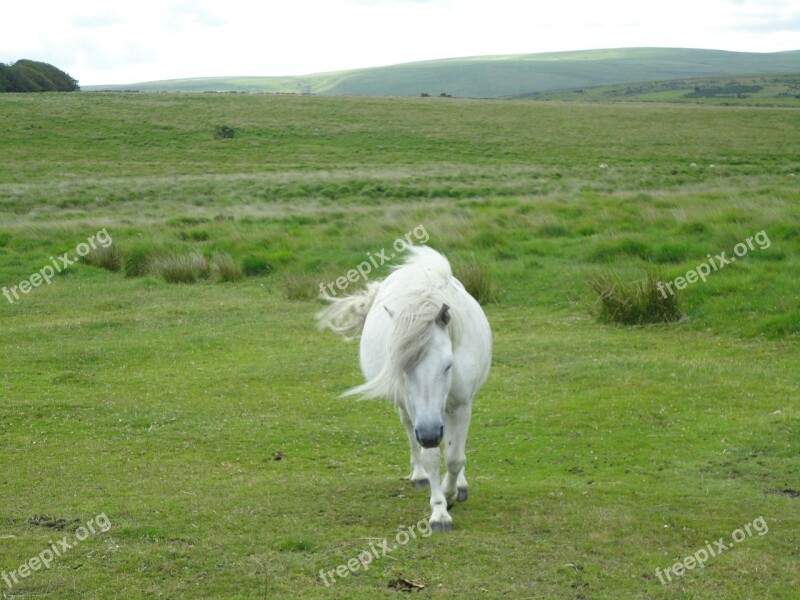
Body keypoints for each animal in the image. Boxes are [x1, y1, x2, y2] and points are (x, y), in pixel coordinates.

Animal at [316, 244, 490, 528]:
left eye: (448, 365)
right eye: (403, 368)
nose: (429, 435)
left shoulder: (462, 404)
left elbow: (455, 457)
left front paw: (451, 489)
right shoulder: (421, 417)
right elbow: (432, 457)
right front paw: (440, 509)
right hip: (408, 411)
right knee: (411, 432)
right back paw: (419, 475)